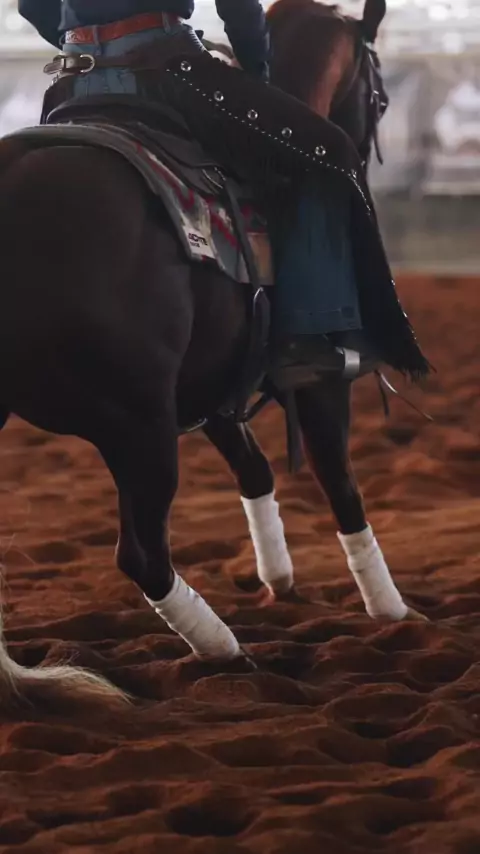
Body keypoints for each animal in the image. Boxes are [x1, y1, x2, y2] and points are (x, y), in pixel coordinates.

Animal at [0, 0, 425, 711]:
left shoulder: (213, 386)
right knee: (142, 554)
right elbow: (339, 477)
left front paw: (278, 576)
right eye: (381, 96)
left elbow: (256, 468)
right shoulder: (319, 379)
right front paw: (392, 610)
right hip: (137, 424)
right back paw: (225, 649)